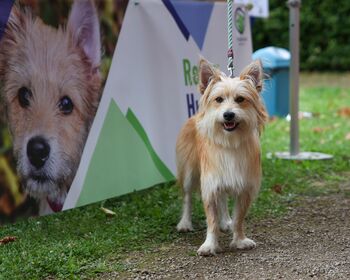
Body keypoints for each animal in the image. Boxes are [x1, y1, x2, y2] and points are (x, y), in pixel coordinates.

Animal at [176, 58, 266, 256]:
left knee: (223, 199)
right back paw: (185, 222)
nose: (228, 114)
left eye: (240, 99)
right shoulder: (210, 185)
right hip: (189, 172)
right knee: (187, 197)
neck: (230, 142)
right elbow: (211, 220)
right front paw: (209, 245)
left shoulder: (244, 186)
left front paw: (239, 240)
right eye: (218, 100)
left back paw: (225, 221)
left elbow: (239, 218)